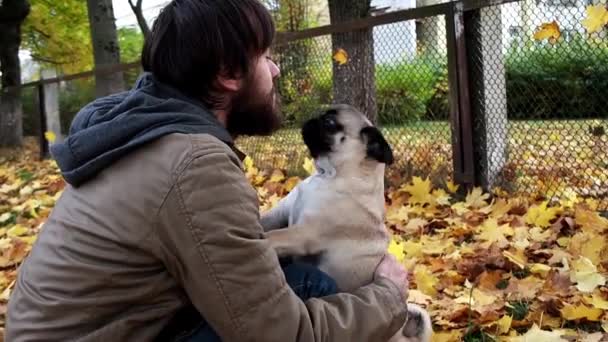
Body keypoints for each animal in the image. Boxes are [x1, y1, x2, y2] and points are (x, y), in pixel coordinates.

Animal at [260, 104, 432, 342]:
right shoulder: (280, 214)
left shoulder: (301, 235)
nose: (312, 118)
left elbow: (272, 237)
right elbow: (264, 222)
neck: (328, 176)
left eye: (330, 123)